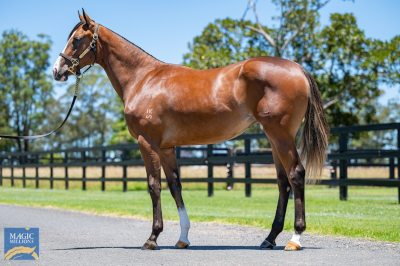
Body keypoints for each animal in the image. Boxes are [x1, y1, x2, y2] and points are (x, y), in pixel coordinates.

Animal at [53, 10, 328, 250]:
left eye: (76, 39)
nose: (57, 70)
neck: (143, 78)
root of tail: (297, 68)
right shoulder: (166, 148)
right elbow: (175, 186)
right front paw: (182, 238)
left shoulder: (147, 142)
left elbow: (154, 186)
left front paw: (152, 238)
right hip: (273, 139)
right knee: (283, 182)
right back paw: (269, 238)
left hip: (281, 136)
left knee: (296, 175)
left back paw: (295, 239)